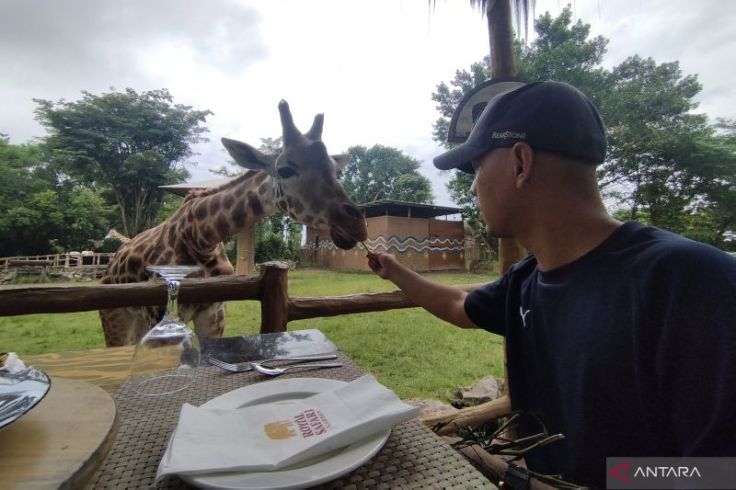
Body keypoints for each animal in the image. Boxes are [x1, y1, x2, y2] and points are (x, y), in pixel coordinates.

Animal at [99, 99, 368, 346]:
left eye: (337, 171)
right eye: (285, 170)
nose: (357, 225)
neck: (200, 238)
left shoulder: (214, 314)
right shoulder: (160, 314)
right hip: (116, 318)